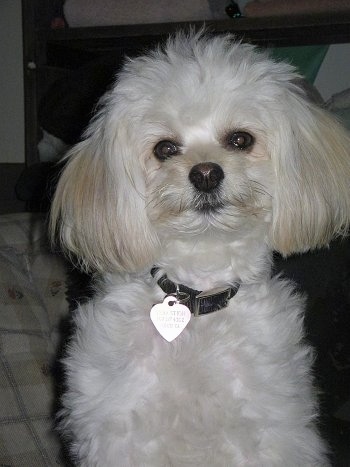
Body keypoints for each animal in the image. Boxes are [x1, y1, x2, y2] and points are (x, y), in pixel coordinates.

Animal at [50, 31, 350, 466]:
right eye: (164, 149)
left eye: (240, 140)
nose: (206, 173)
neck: (197, 300)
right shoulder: (119, 433)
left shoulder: (273, 432)